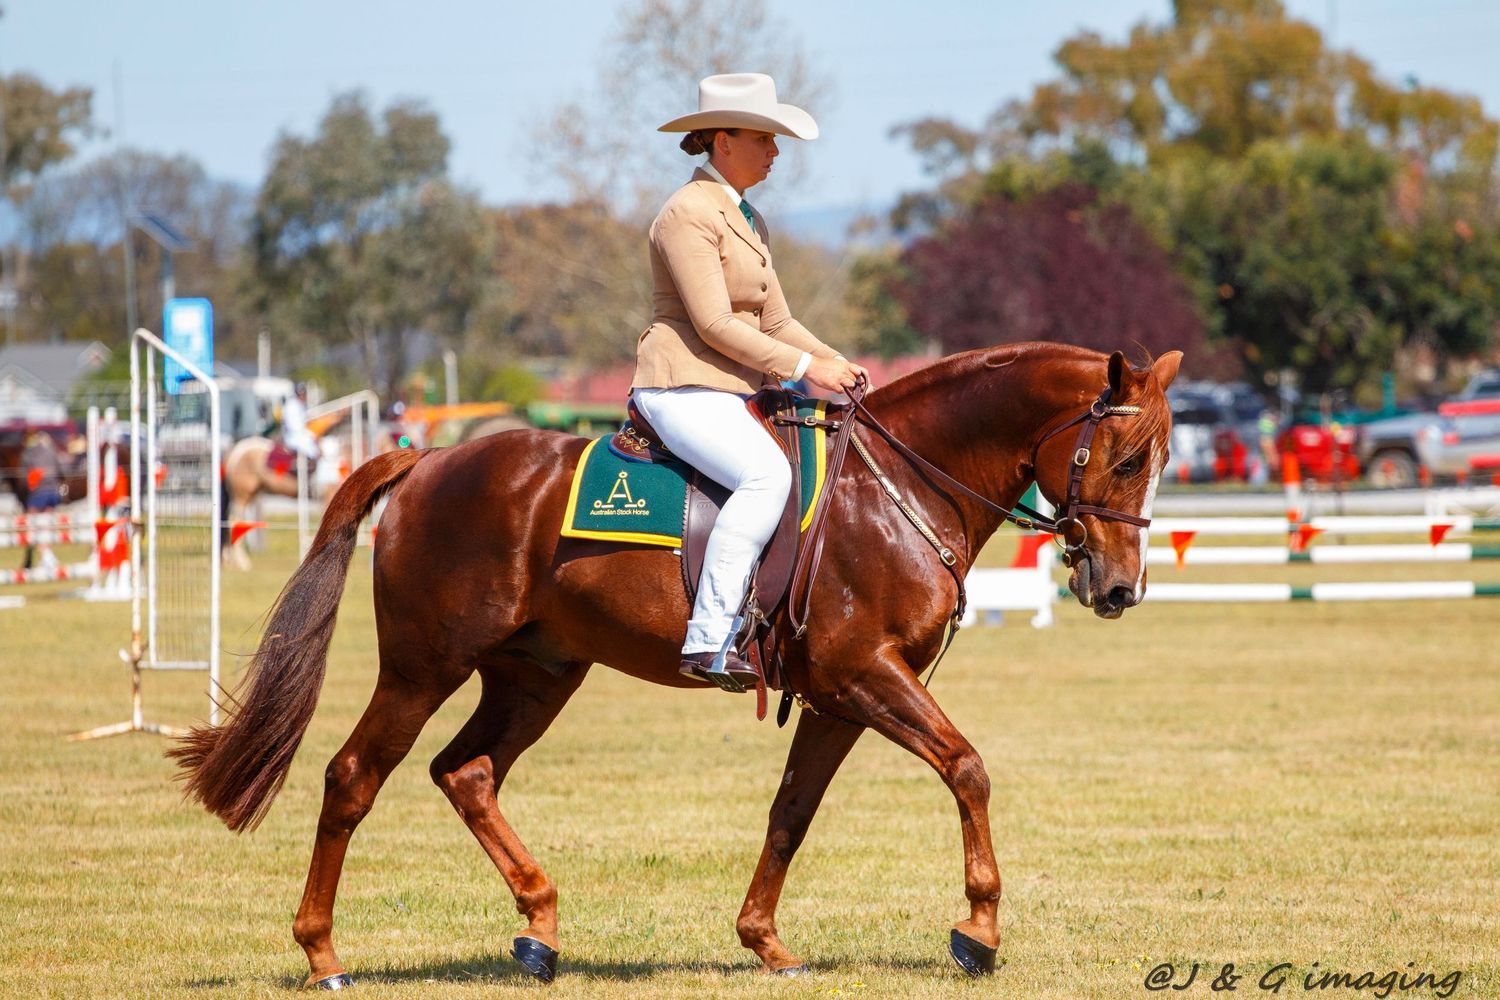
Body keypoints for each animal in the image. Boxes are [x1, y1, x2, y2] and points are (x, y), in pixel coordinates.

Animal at [170, 343, 1182, 987]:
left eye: (1163, 458)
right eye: (1128, 457)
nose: (1119, 589)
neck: (901, 484)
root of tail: (428, 461)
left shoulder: (838, 699)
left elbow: (791, 812)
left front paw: (764, 942)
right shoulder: (866, 675)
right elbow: (968, 768)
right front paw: (978, 929)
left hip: (537, 675)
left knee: (467, 772)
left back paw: (539, 928)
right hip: (423, 668)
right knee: (352, 778)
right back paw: (322, 955)